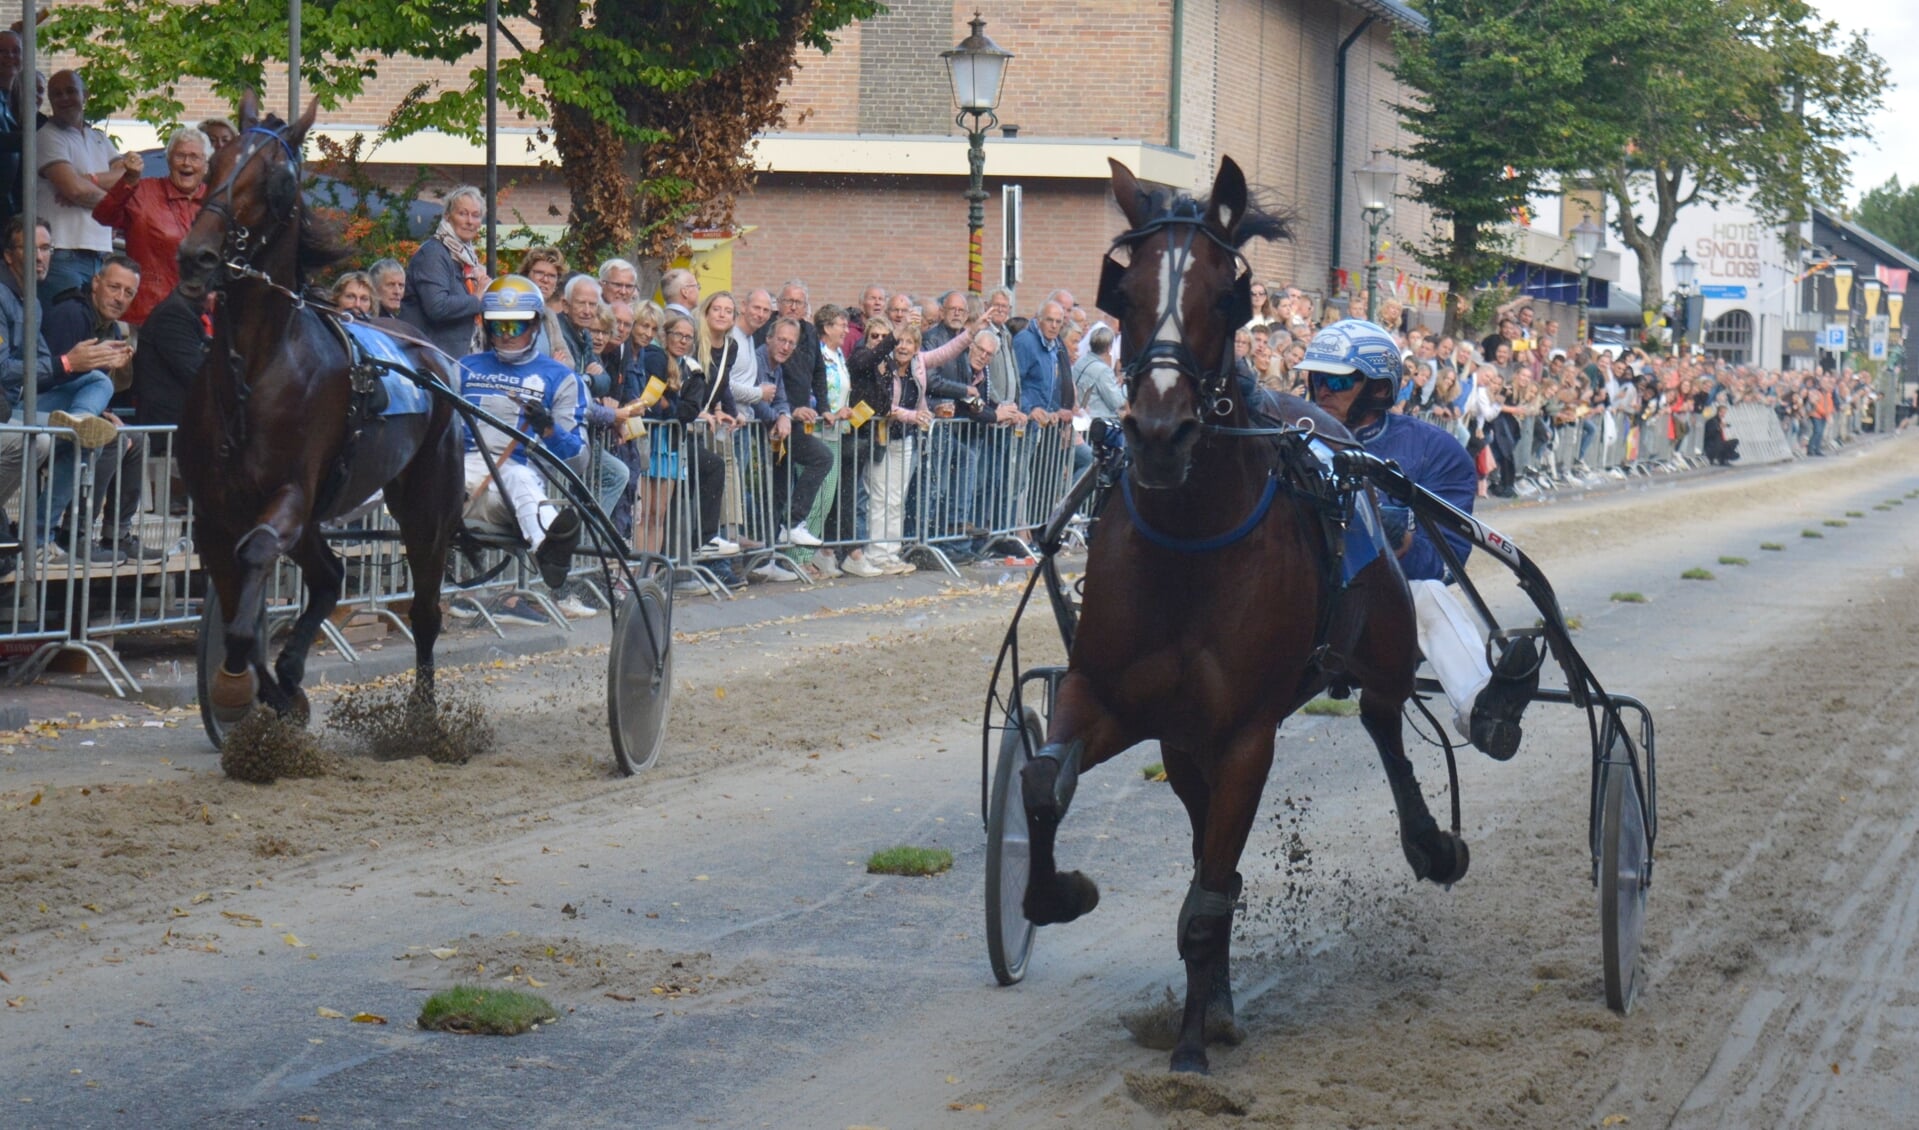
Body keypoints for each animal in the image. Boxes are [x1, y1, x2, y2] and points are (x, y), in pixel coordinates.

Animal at [178, 99, 466, 732]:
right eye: (211, 167)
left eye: (278, 181)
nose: (196, 256)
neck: (256, 368)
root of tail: (433, 355)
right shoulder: (213, 513)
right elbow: (236, 608)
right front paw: (269, 689)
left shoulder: (289, 493)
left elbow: (254, 570)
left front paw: (250, 689)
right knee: (331, 576)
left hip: (426, 501)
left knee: (426, 609)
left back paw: (423, 716)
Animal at [1020, 154, 1466, 1074]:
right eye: (1121, 291)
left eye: (1227, 296)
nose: (1157, 431)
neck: (1189, 544)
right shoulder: (1113, 698)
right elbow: (1045, 784)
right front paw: (1061, 891)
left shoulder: (1244, 735)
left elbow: (1203, 901)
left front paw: (1192, 1047)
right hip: (1182, 740)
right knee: (1209, 852)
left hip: (1379, 641)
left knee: (1383, 718)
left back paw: (1428, 841)